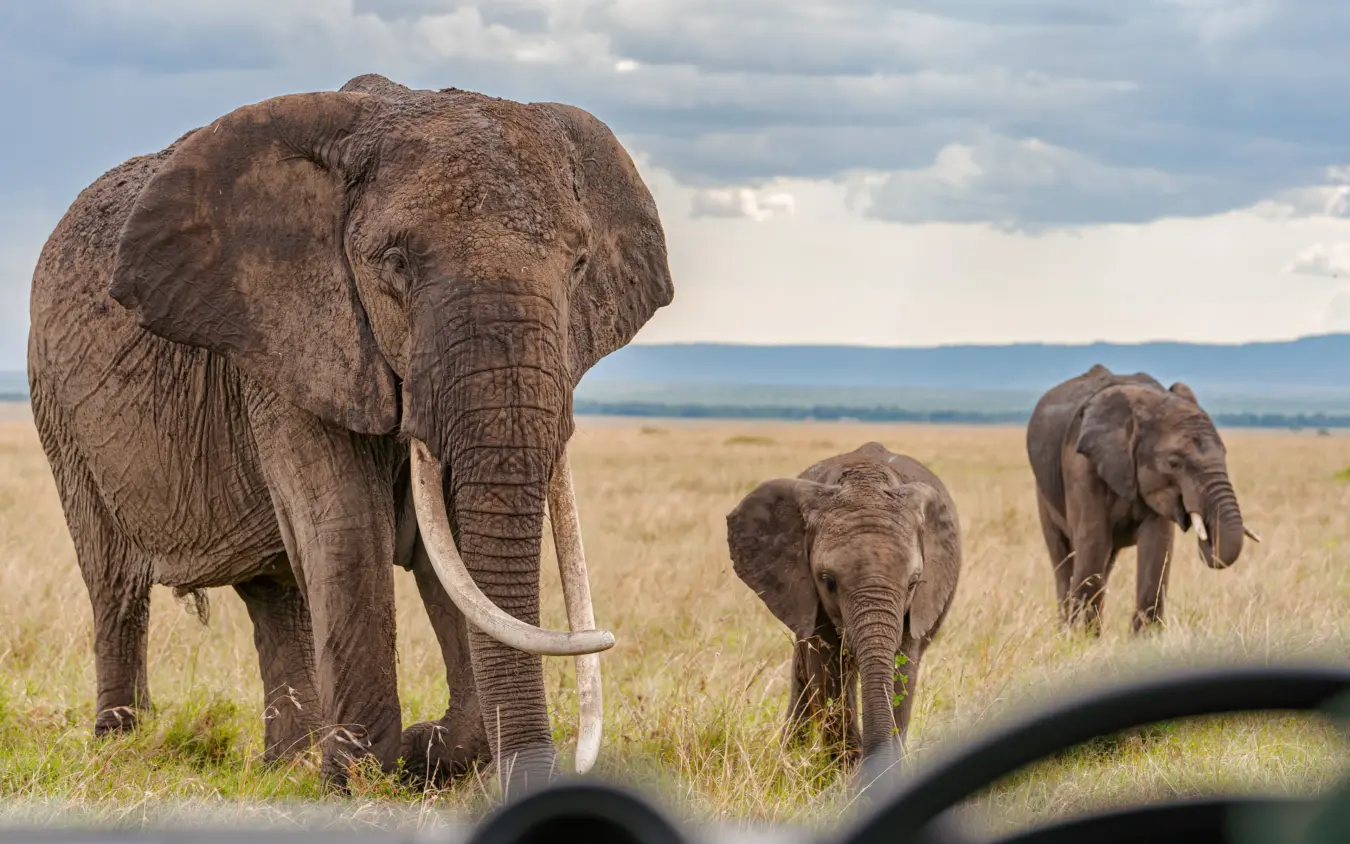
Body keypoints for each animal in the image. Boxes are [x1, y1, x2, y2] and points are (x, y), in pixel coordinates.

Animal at [25, 73, 673, 796]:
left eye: (580, 262)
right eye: (396, 262)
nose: (534, 777)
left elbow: (447, 549)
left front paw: (421, 754)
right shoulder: (290, 341)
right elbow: (349, 528)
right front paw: (362, 779)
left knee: (274, 591)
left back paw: (288, 764)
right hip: (57, 407)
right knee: (115, 584)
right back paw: (123, 747)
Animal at [725, 442, 962, 784]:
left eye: (914, 582)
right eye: (828, 581)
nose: (871, 770)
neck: (866, 481)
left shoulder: (918, 607)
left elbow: (903, 669)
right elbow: (827, 669)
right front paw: (842, 779)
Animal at [1026, 364, 1261, 635]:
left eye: (1224, 454)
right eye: (1174, 463)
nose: (1207, 537)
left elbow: (1157, 547)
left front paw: (1143, 639)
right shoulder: (1081, 467)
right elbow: (1092, 543)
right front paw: (1081, 639)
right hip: (1043, 493)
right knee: (1065, 559)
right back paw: (1067, 631)